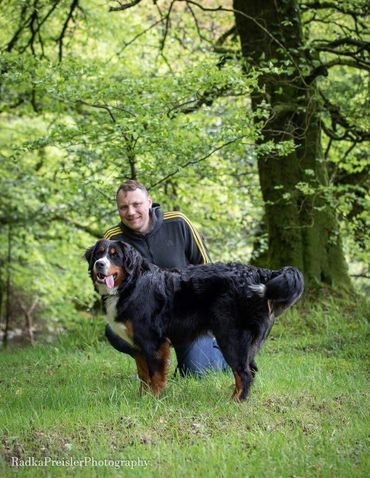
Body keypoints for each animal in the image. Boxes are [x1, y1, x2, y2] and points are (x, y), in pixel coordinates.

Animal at [86, 238, 304, 400]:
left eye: (115, 255)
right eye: (99, 254)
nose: (99, 264)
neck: (131, 284)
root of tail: (260, 272)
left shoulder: (153, 341)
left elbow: (155, 374)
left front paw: (154, 399)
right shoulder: (139, 345)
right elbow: (143, 375)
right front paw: (141, 398)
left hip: (231, 338)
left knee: (244, 373)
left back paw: (236, 401)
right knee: (250, 369)